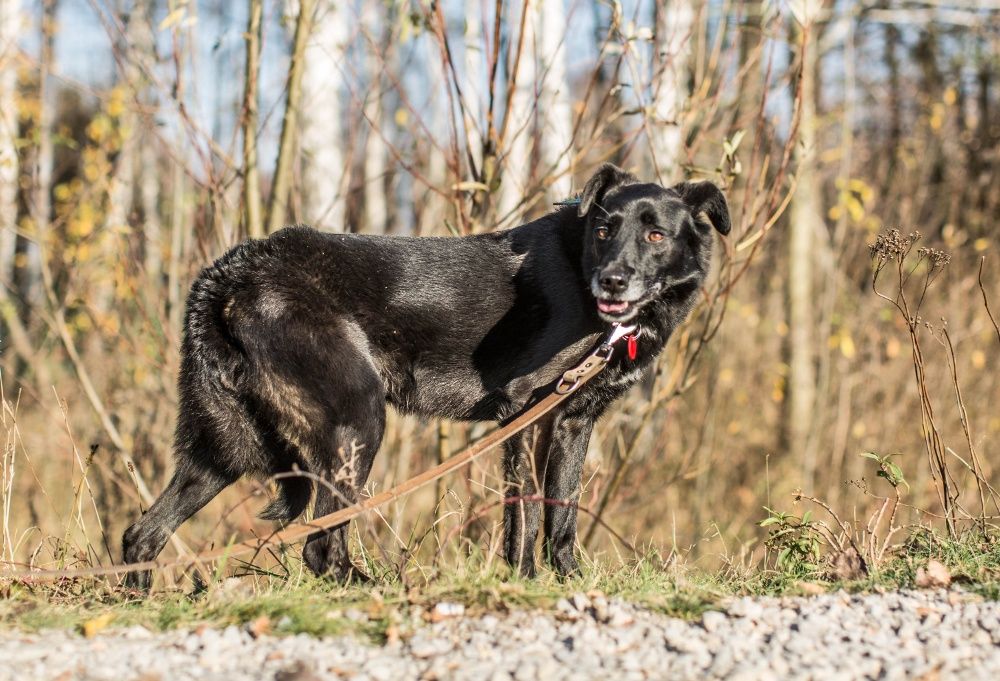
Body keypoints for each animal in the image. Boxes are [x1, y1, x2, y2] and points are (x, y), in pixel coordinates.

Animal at [123, 161, 728, 584]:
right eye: (604, 230)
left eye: (655, 235)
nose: (612, 281)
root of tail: (231, 272)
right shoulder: (528, 411)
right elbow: (528, 511)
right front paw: (526, 582)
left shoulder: (570, 421)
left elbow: (560, 513)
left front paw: (563, 582)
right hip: (357, 421)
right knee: (320, 547)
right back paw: (378, 589)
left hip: (225, 449)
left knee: (141, 533)